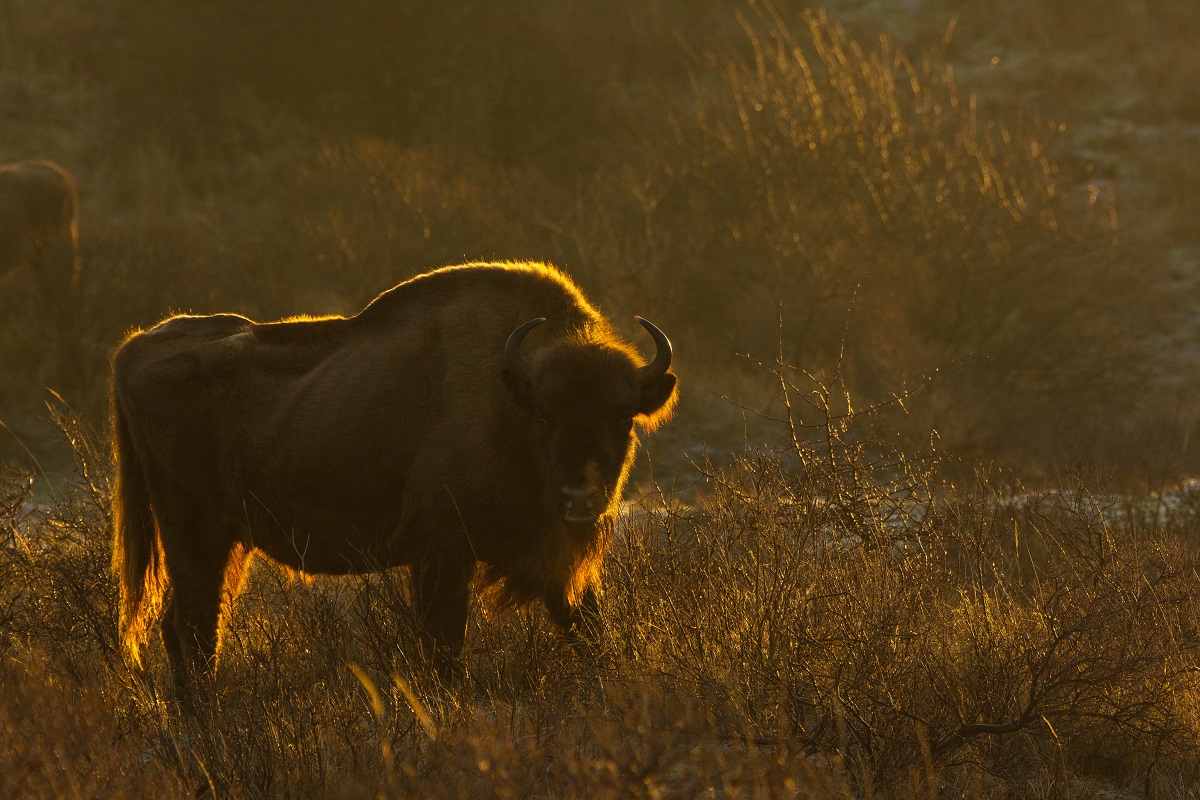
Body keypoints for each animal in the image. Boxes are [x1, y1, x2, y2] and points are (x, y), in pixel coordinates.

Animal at [111, 262, 676, 690]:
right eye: (543, 414)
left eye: (623, 416)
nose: (580, 497)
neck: (505, 399)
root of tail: (134, 346)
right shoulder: (441, 553)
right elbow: (445, 648)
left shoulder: (554, 570)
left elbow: (590, 630)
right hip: (195, 532)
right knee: (194, 628)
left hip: (223, 542)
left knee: (184, 628)